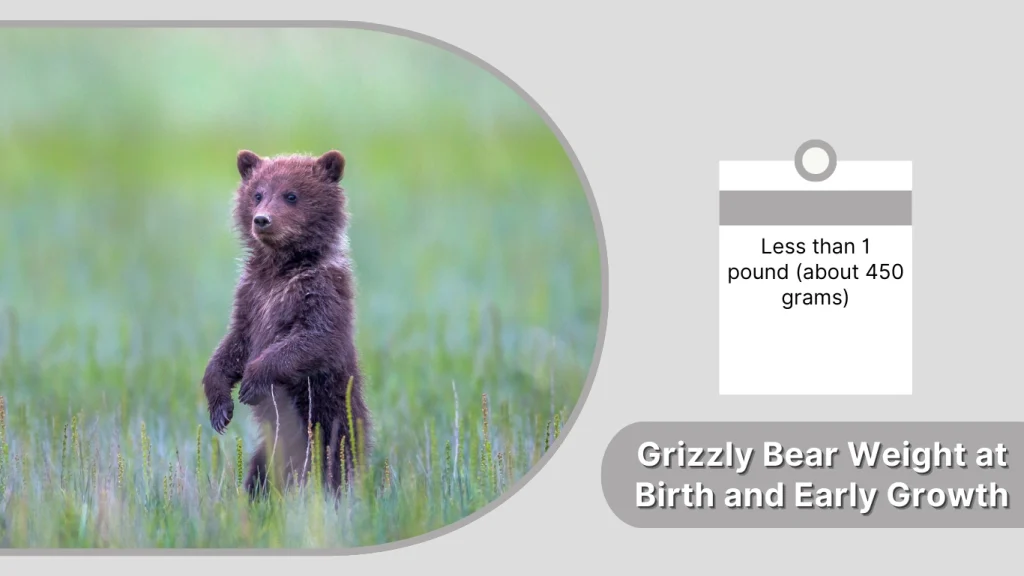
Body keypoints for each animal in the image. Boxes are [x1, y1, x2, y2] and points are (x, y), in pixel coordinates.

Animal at [201, 149, 372, 499]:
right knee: (260, 474)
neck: (281, 267)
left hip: (330, 425)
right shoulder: (251, 296)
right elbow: (233, 344)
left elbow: (313, 339)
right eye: (257, 194)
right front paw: (220, 408)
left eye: (291, 195)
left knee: (336, 467)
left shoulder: (319, 292)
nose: (262, 220)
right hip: (272, 450)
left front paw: (252, 383)